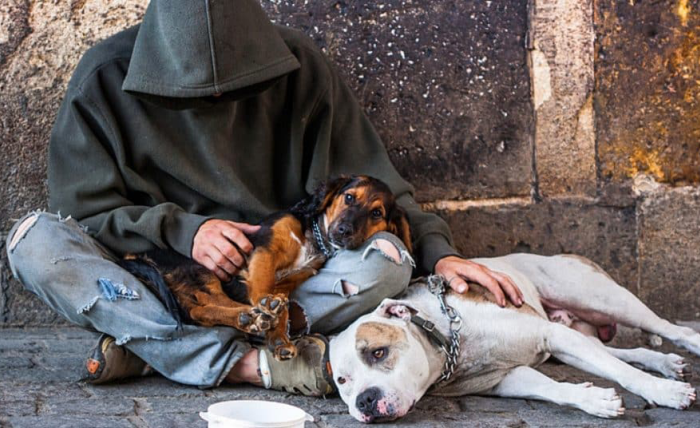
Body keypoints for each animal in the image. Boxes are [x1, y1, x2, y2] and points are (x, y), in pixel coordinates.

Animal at [119, 176, 412, 360]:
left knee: (201, 310)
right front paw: (267, 308)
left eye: (376, 213)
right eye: (349, 197)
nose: (344, 231)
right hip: (202, 269)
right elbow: (262, 285)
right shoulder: (264, 250)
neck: (314, 238)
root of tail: (135, 255)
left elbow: (281, 305)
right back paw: (250, 316)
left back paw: (250, 319)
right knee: (204, 305)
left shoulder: (291, 280)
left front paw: (279, 339)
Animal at [330, 252, 696, 422]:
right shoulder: (504, 379)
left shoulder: (549, 334)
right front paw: (593, 399)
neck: (448, 345)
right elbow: (551, 389)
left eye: (378, 353)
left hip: (603, 298)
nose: (364, 400)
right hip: (575, 333)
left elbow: (624, 374)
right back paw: (664, 362)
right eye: (343, 381)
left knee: (670, 328)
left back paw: (686, 349)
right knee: (623, 352)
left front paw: (664, 392)